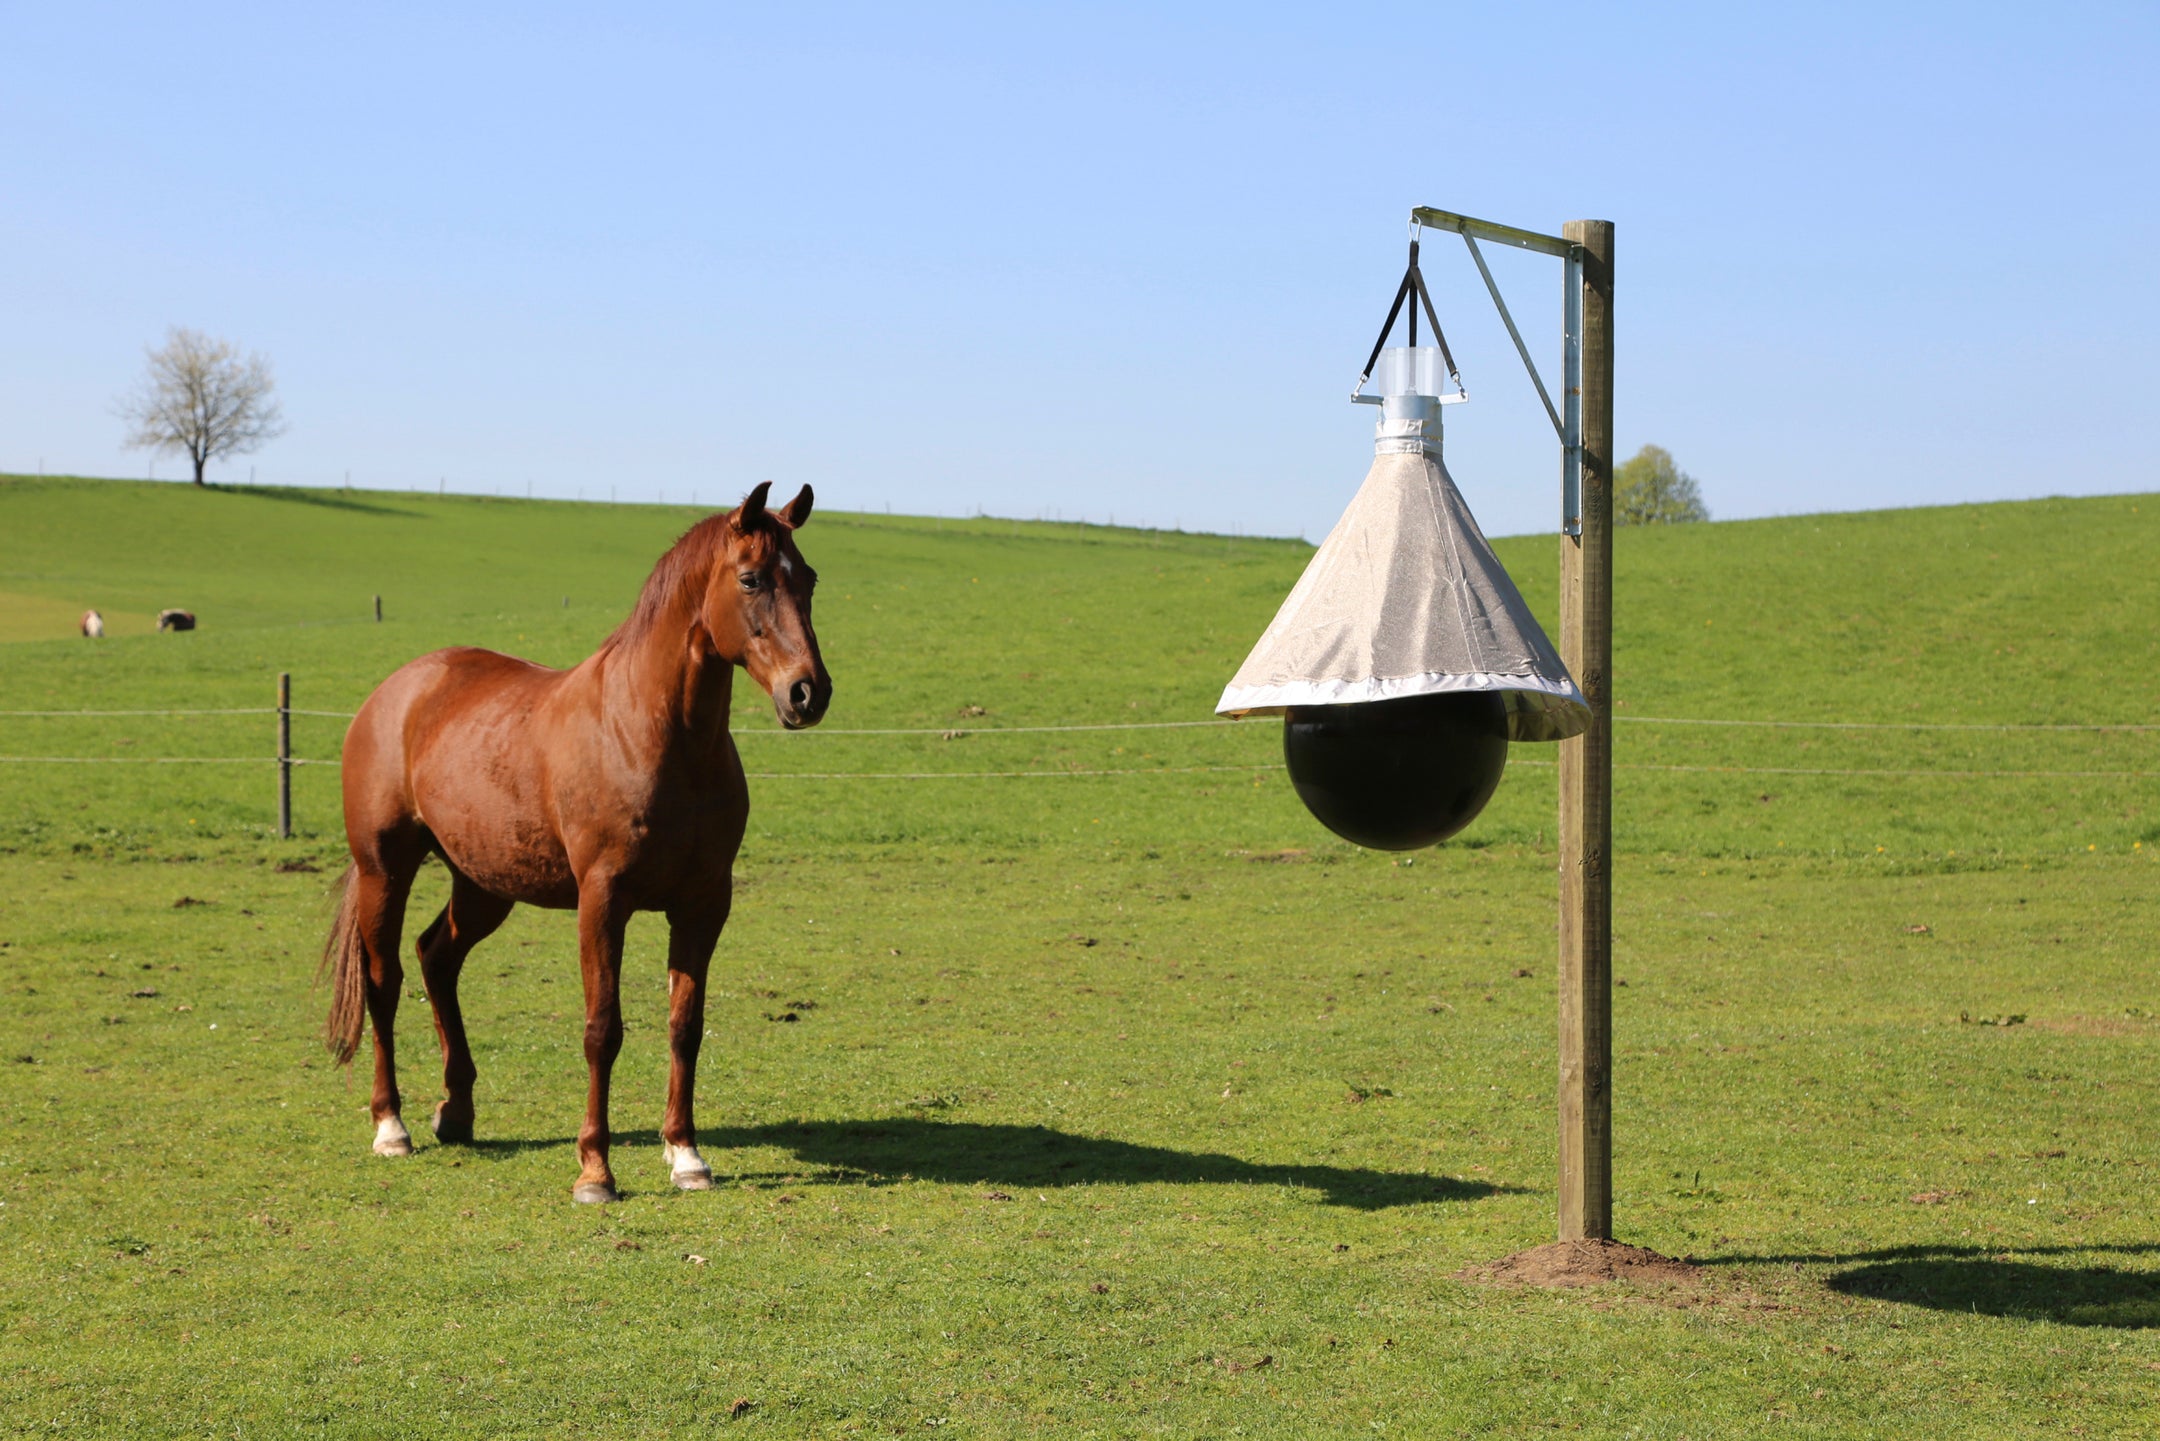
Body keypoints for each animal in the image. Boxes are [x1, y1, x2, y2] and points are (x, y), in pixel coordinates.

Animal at [324, 483, 829, 1209]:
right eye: (752, 578)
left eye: (808, 579)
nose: (808, 692)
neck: (654, 733)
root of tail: (397, 690)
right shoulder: (603, 900)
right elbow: (602, 1028)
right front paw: (595, 1169)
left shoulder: (704, 904)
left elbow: (685, 1026)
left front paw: (686, 1155)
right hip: (383, 870)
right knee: (383, 980)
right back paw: (391, 1125)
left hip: (483, 885)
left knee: (436, 958)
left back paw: (456, 1111)